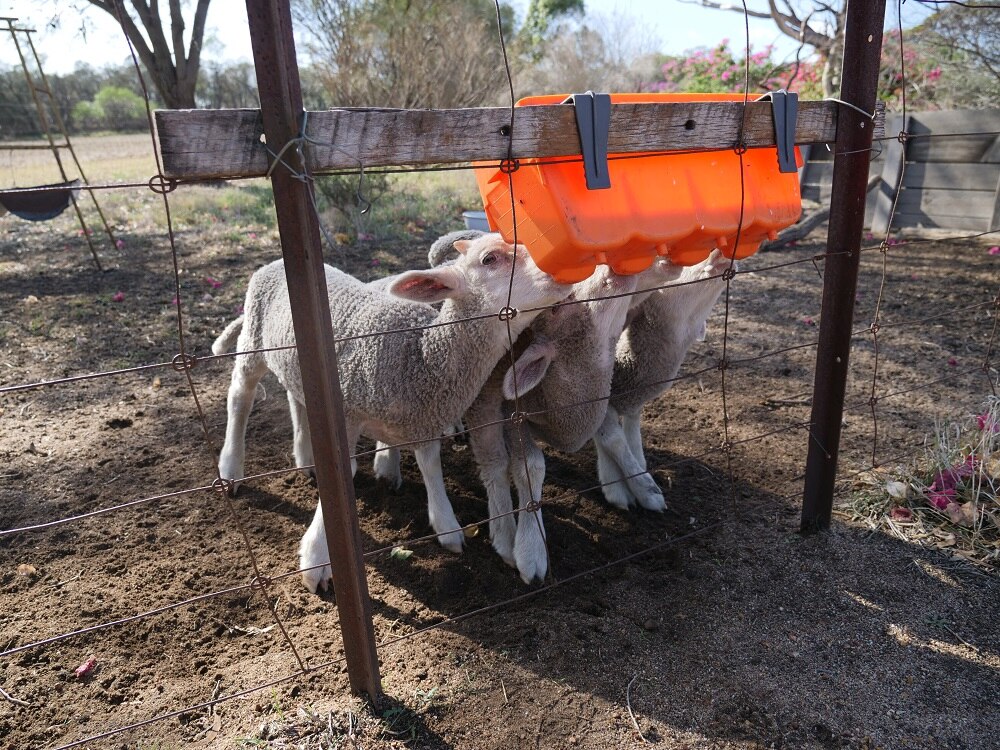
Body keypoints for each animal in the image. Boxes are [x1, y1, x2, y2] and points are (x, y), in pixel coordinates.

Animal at [213, 233, 572, 593]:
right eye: (489, 259)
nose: (563, 267)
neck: (420, 354)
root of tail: (272, 263)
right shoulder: (347, 410)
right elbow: (343, 476)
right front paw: (317, 558)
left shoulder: (423, 415)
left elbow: (430, 463)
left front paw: (446, 525)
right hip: (253, 342)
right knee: (239, 397)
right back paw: (231, 467)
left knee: (295, 396)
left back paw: (304, 456)